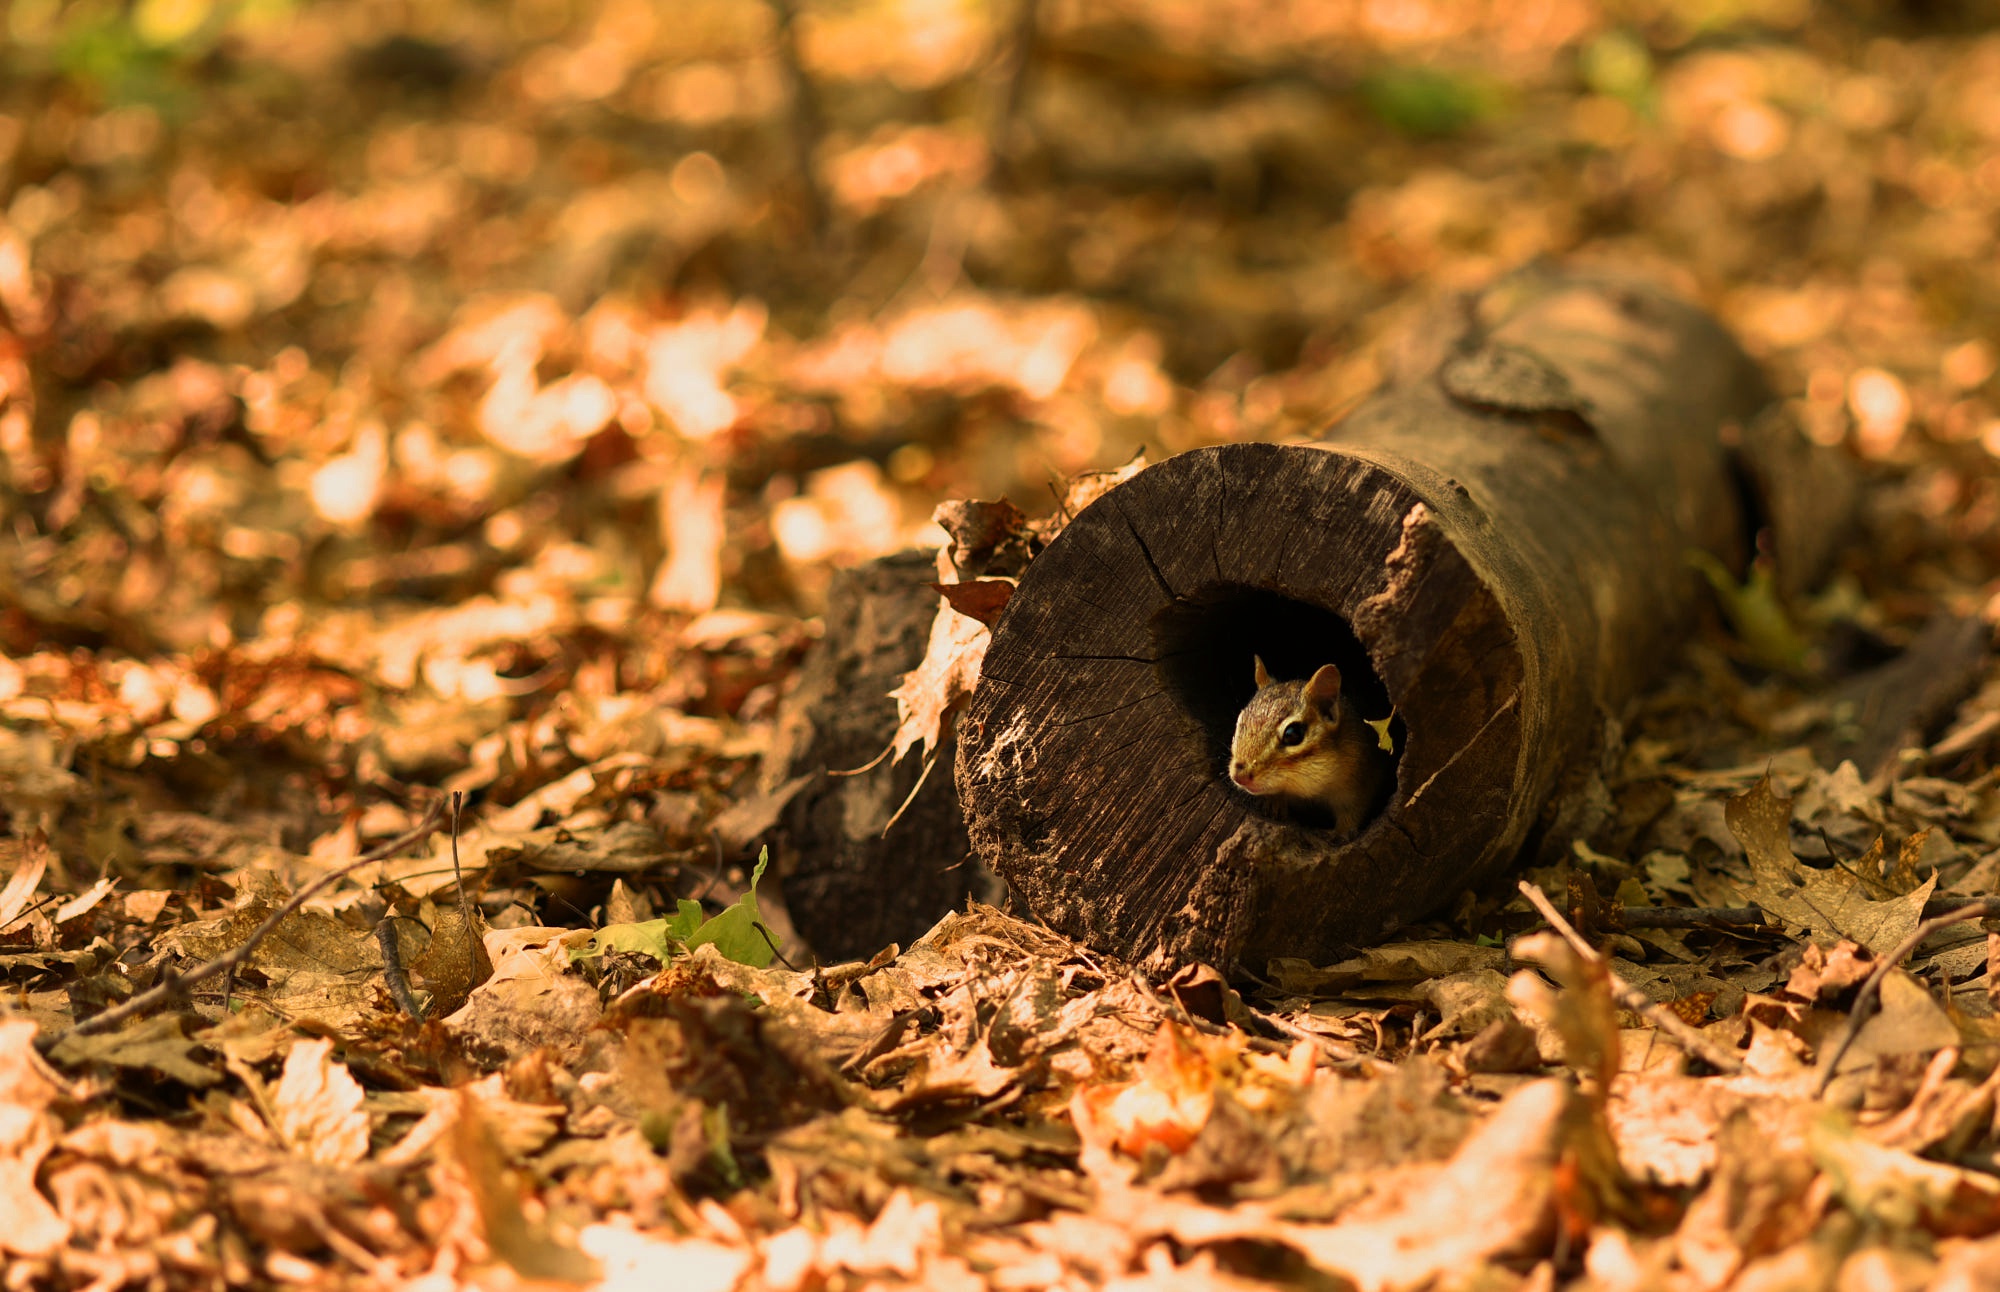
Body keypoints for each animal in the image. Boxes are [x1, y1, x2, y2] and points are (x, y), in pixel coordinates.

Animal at [1228, 656, 1392, 838]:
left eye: (1292, 734)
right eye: (1239, 721)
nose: (1239, 776)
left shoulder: (1363, 781)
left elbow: (1353, 811)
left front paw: (1341, 832)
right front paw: (1274, 802)